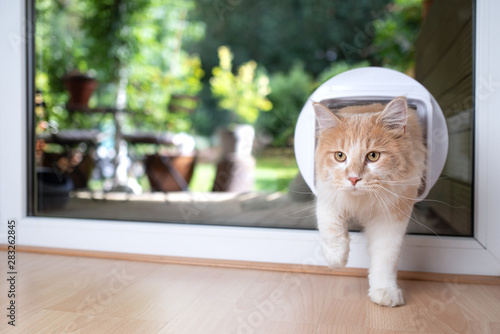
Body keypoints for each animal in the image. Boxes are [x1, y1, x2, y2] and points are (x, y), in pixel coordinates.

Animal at [312, 96, 426, 308]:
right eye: (340, 156)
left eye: (373, 156)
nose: (353, 179)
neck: (362, 201)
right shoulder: (327, 194)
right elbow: (331, 229)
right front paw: (336, 260)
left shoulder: (391, 219)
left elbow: (385, 258)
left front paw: (384, 291)